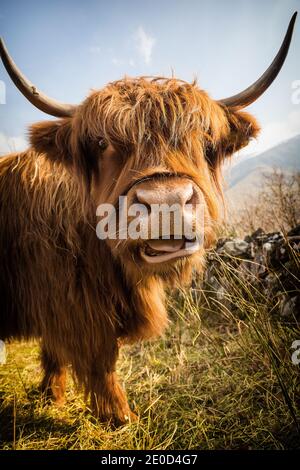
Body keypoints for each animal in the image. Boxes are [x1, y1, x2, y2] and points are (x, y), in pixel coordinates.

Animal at [0, 13, 296, 422]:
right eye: (101, 142)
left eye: (206, 142)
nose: (166, 203)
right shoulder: (75, 307)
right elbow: (100, 361)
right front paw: (119, 416)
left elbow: (57, 353)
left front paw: (51, 396)